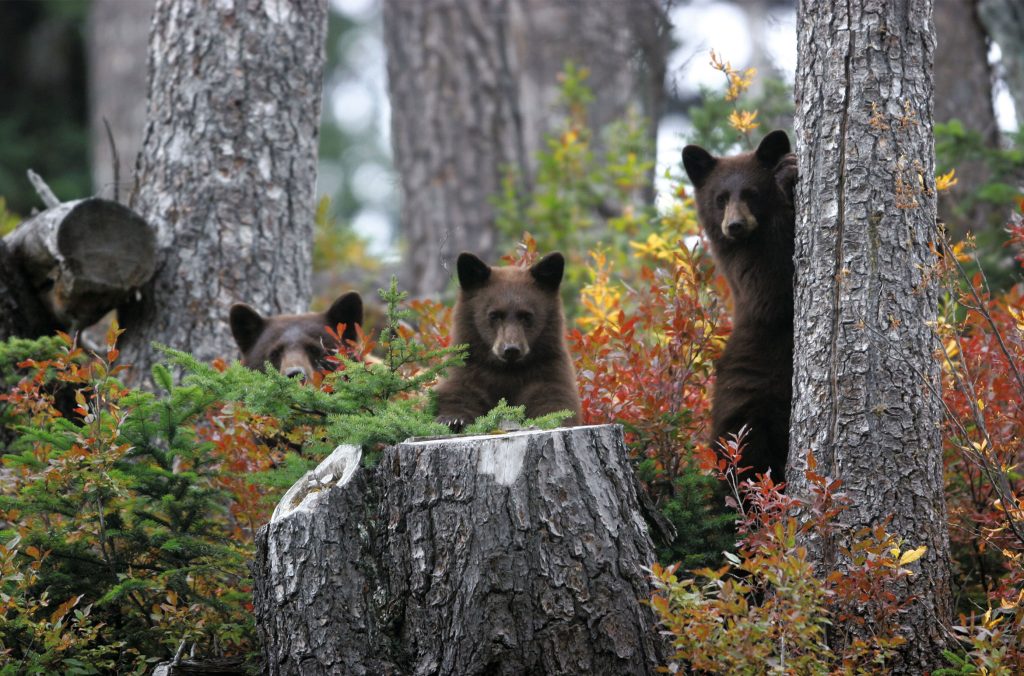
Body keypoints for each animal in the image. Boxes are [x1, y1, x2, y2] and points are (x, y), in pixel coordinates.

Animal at [433, 251, 582, 430]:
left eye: (526, 316)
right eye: (494, 315)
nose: (511, 349)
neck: (507, 371)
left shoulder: (548, 368)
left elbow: (554, 399)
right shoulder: (468, 367)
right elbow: (459, 391)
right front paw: (453, 419)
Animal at [682, 129, 798, 484]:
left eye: (750, 193)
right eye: (720, 198)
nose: (733, 225)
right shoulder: (740, 267)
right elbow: (772, 290)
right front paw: (786, 177)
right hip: (744, 400)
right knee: (744, 457)